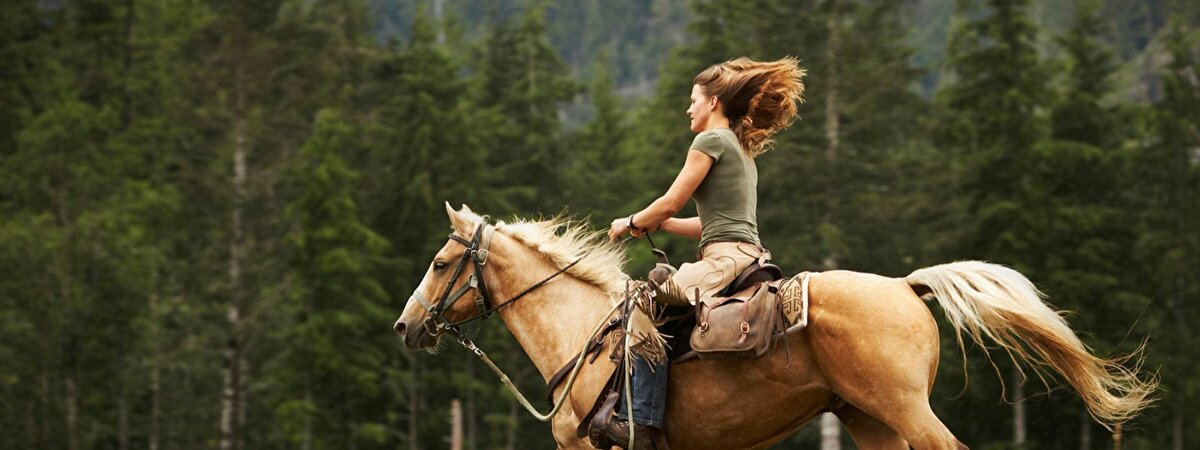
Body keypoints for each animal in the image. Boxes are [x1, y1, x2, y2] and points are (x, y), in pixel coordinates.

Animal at [393, 205, 1152, 450]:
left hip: (907, 409)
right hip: (870, 420)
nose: (405, 325)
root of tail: (907, 285)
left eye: (439, 262)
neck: (584, 336)